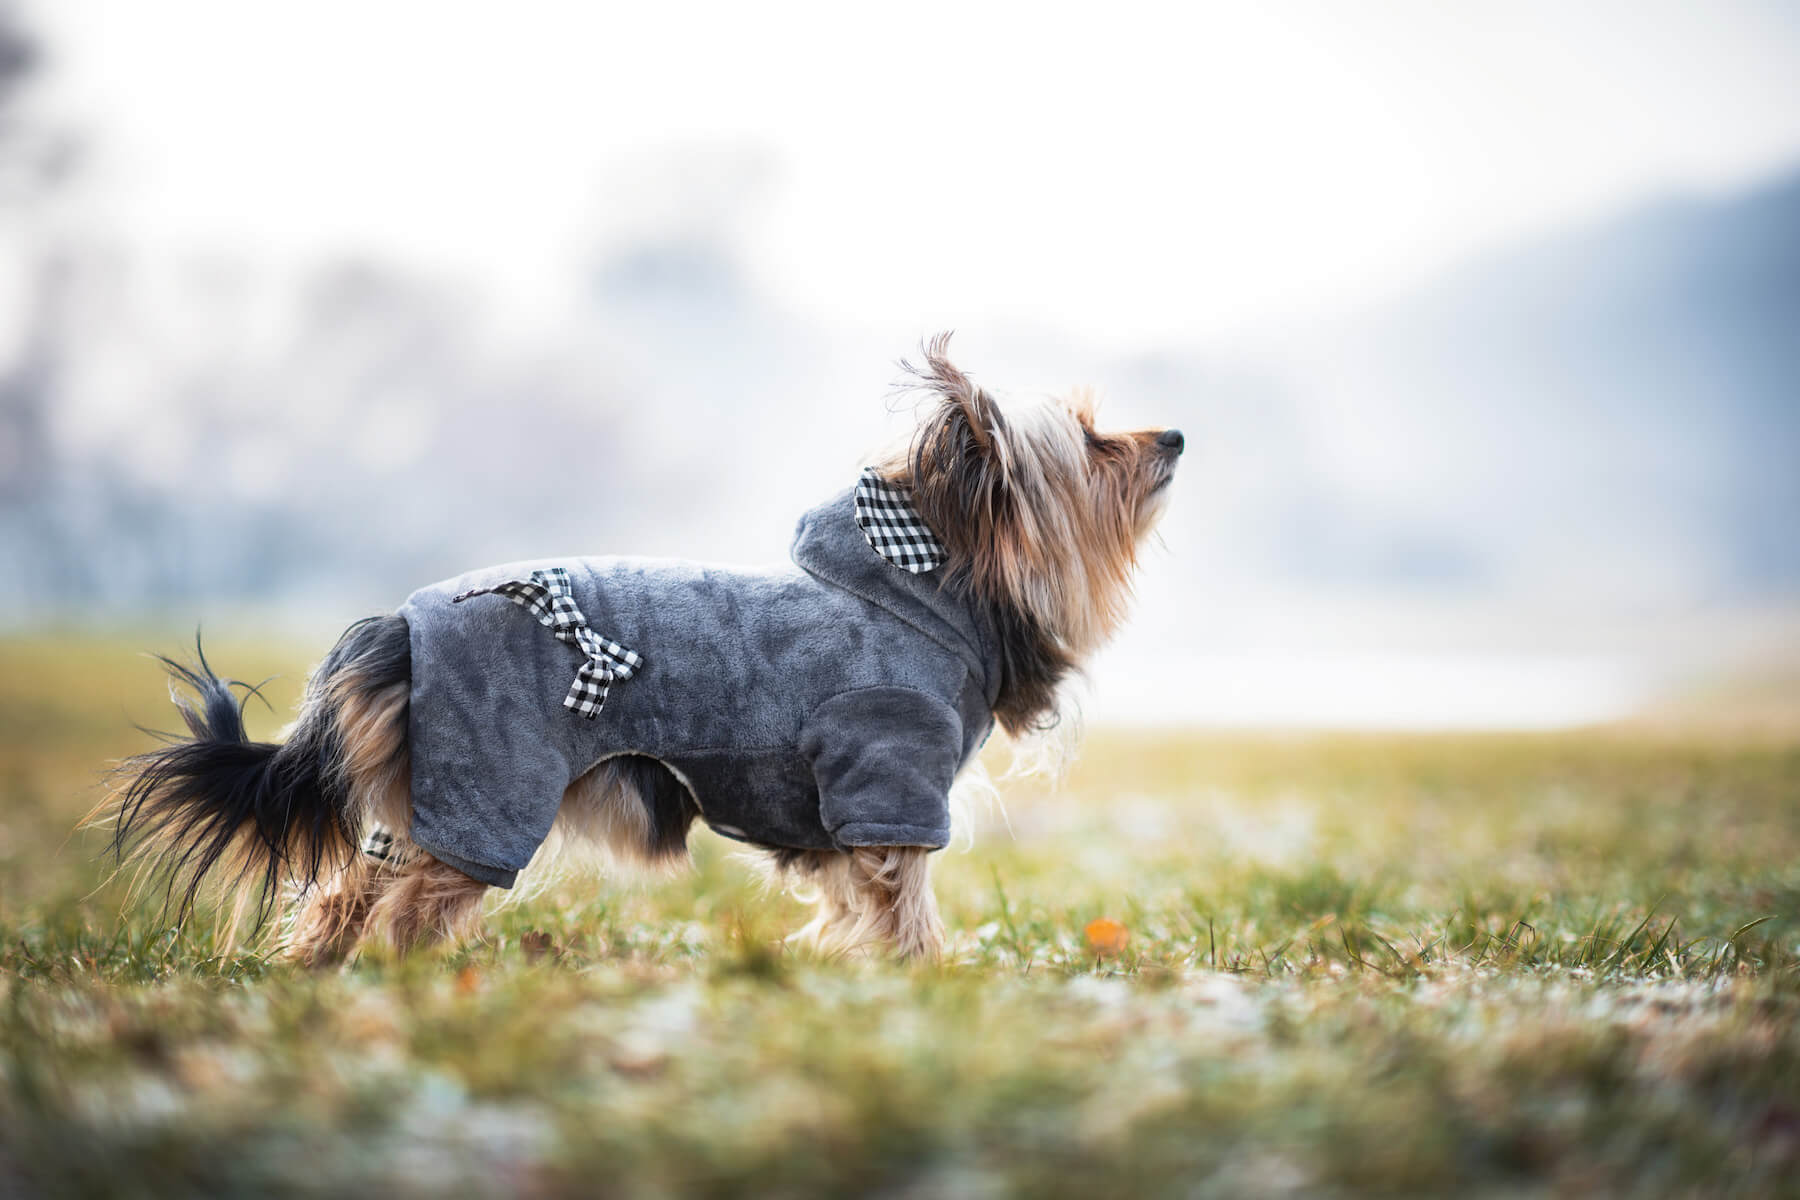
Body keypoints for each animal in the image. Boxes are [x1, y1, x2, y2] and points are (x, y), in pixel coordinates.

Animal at [105, 338, 1188, 964]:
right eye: (1095, 443)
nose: (1173, 435)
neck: (927, 589)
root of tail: (399, 626)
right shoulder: (890, 780)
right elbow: (901, 902)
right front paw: (921, 987)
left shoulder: (849, 815)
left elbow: (854, 904)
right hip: (493, 784)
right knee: (409, 910)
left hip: (420, 796)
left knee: (345, 895)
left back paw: (317, 984)